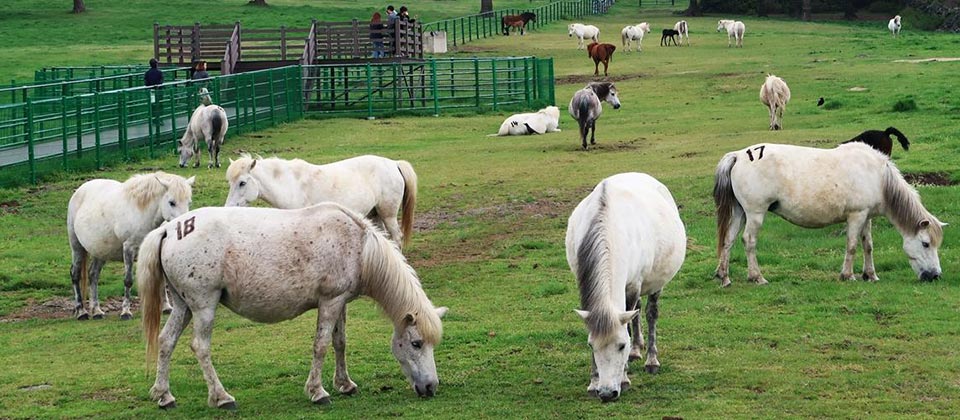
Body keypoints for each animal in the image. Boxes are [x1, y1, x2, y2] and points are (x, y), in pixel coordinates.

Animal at [68, 172, 195, 320]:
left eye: (188, 202)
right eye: (172, 202)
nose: (184, 224)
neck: (143, 214)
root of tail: (80, 190)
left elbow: (162, 282)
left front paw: (166, 307)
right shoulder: (129, 248)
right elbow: (128, 280)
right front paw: (126, 312)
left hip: (100, 251)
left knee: (93, 275)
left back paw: (97, 311)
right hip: (76, 246)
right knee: (75, 274)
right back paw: (81, 311)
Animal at [138, 202, 446, 408]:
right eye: (416, 343)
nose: (431, 386)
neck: (358, 246)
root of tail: (170, 229)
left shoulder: (340, 302)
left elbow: (340, 342)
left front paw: (345, 384)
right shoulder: (330, 302)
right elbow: (321, 345)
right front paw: (318, 392)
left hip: (183, 306)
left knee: (166, 341)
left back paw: (164, 395)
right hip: (204, 306)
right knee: (200, 347)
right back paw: (221, 397)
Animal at [229, 153, 420, 246]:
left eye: (242, 183)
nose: (228, 206)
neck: (292, 184)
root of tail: (394, 164)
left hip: (388, 215)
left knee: (397, 236)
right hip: (375, 215)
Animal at [568, 172, 688, 402]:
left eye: (621, 345)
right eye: (590, 345)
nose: (607, 393)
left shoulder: (633, 285)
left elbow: (629, 325)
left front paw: (624, 378)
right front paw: (593, 382)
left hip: (654, 283)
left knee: (650, 313)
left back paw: (650, 359)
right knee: (637, 311)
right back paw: (637, 350)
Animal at [712, 143, 944, 288]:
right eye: (925, 244)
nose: (935, 276)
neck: (877, 176)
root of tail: (739, 155)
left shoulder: (866, 217)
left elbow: (867, 246)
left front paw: (870, 275)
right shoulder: (856, 216)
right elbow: (852, 246)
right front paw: (848, 275)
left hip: (739, 213)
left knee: (728, 241)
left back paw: (724, 277)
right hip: (755, 213)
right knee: (748, 241)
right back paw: (757, 277)